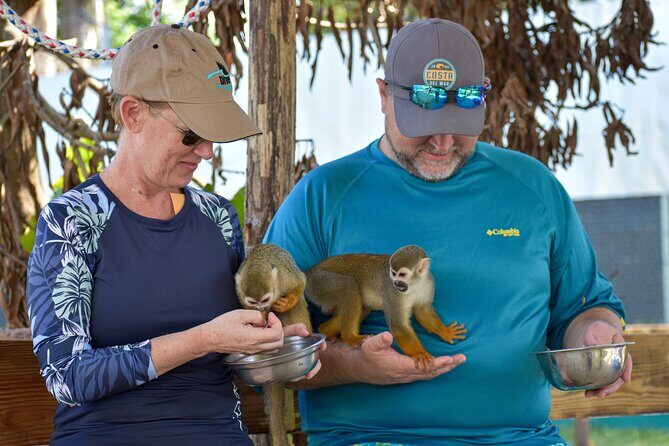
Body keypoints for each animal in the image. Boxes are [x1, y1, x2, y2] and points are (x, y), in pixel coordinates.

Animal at [235, 243, 311, 446]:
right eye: (254, 302)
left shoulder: (286, 275)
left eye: (265, 300)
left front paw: (286, 303)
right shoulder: (240, 293)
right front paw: (257, 321)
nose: (261, 308)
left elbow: (301, 282)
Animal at [305, 245, 466, 371]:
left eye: (402, 274)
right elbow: (398, 325)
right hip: (321, 282)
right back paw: (350, 337)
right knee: (348, 286)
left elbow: (422, 311)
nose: (396, 283)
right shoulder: (392, 292)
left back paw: (326, 330)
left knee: (361, 305)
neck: (414, 285)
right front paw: (420, 354)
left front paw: (445, 332)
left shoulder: (429, 284)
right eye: (393, 274)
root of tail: (310, 270)